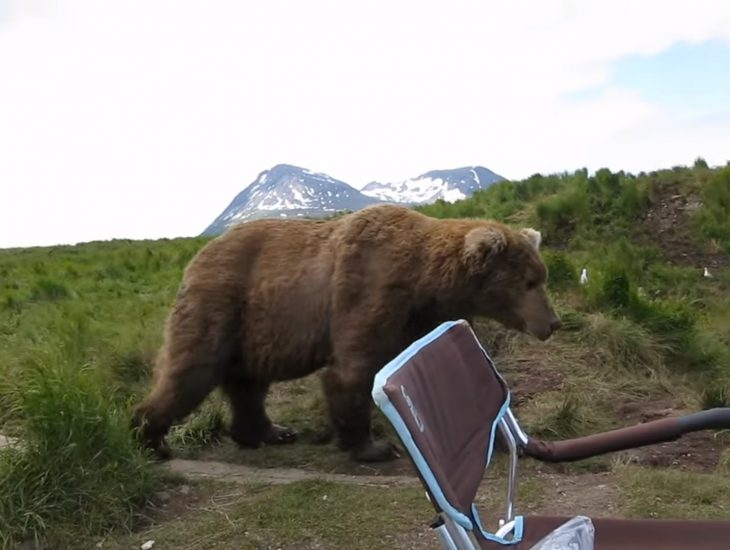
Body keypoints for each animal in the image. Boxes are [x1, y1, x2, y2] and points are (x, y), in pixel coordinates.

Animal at [131, 205, 560, 464]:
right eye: (529, 281)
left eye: (542, 276)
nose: (553, 322)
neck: (425, 283)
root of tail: (196, 256)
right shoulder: (368, 288)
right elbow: (352, 371)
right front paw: (373, 446)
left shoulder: (419, 319)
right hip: (220, 305)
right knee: (191, 371)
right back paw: (151, 439)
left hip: (253, 331)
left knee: (249, 384)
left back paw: (269, 432)